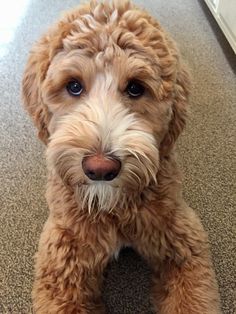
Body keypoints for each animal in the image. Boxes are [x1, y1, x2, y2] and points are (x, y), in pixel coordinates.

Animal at [21, 0, 220, 314]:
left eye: (136, 88)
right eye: (73, 86)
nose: (100, 168)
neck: (113, 207)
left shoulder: (181, 236)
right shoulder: (63, 254)